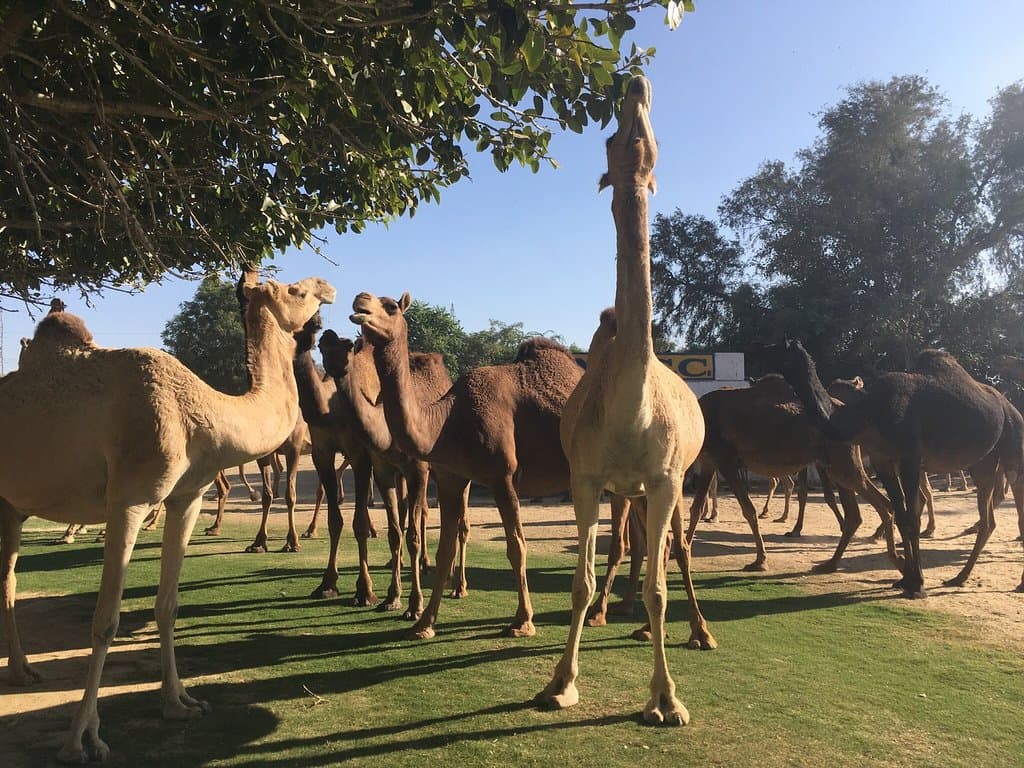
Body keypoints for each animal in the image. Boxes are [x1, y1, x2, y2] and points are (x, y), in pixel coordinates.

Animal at [0, 273, 334, 763]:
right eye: (296, 291)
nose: (327, 287)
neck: (204, 413)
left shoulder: (186, 497)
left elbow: (168, 605)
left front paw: (179, 703)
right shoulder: (130, 500)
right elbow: (106, 622)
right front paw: (80, 738)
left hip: (11, 506)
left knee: (7, 576)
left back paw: (22, 670)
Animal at [536, 75, 713, 726]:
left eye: (654, 141)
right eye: (611, 141)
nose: (634, 81)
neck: (631, 411)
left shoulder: (665, 479)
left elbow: (662, 584)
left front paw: (666, 699)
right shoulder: (586, 478)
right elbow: (581, 581)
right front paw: (560, 683)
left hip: (676, 482)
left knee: (674, 551)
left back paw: (697, 631)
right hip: (624, 490)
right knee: (634, 549)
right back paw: (629, 619)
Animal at [763, 340, 1024, 596]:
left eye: (779, 350)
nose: (762, 370)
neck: (870, 413)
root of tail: (1009, 406)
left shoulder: (910, 458)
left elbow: (912, 518)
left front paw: (917, 585)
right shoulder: (884, 461)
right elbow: (901, 515)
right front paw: (907, 579)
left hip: (1013, 448)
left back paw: (1016, 583)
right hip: (984, 462)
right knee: (988, 519)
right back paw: (959, 577)